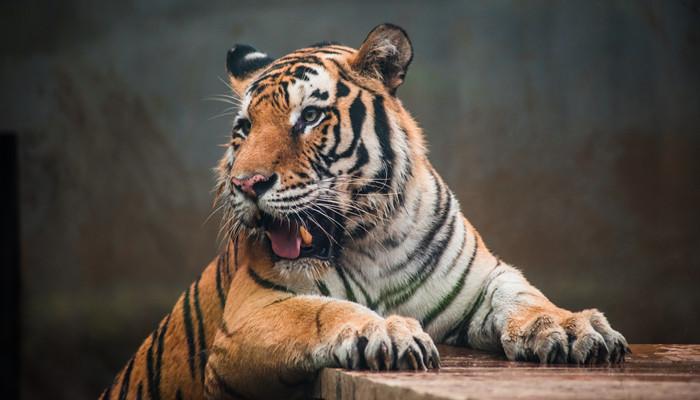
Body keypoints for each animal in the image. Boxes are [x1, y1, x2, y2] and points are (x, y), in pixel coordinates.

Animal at [101, 23, 632, 398]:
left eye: (309, 116)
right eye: (244, 128)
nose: (245, 185)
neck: (376, 242)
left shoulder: (482, 279)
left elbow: (525, 297)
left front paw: (572, 328)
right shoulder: (251, 311)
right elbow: (322, 311)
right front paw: (388, 331)